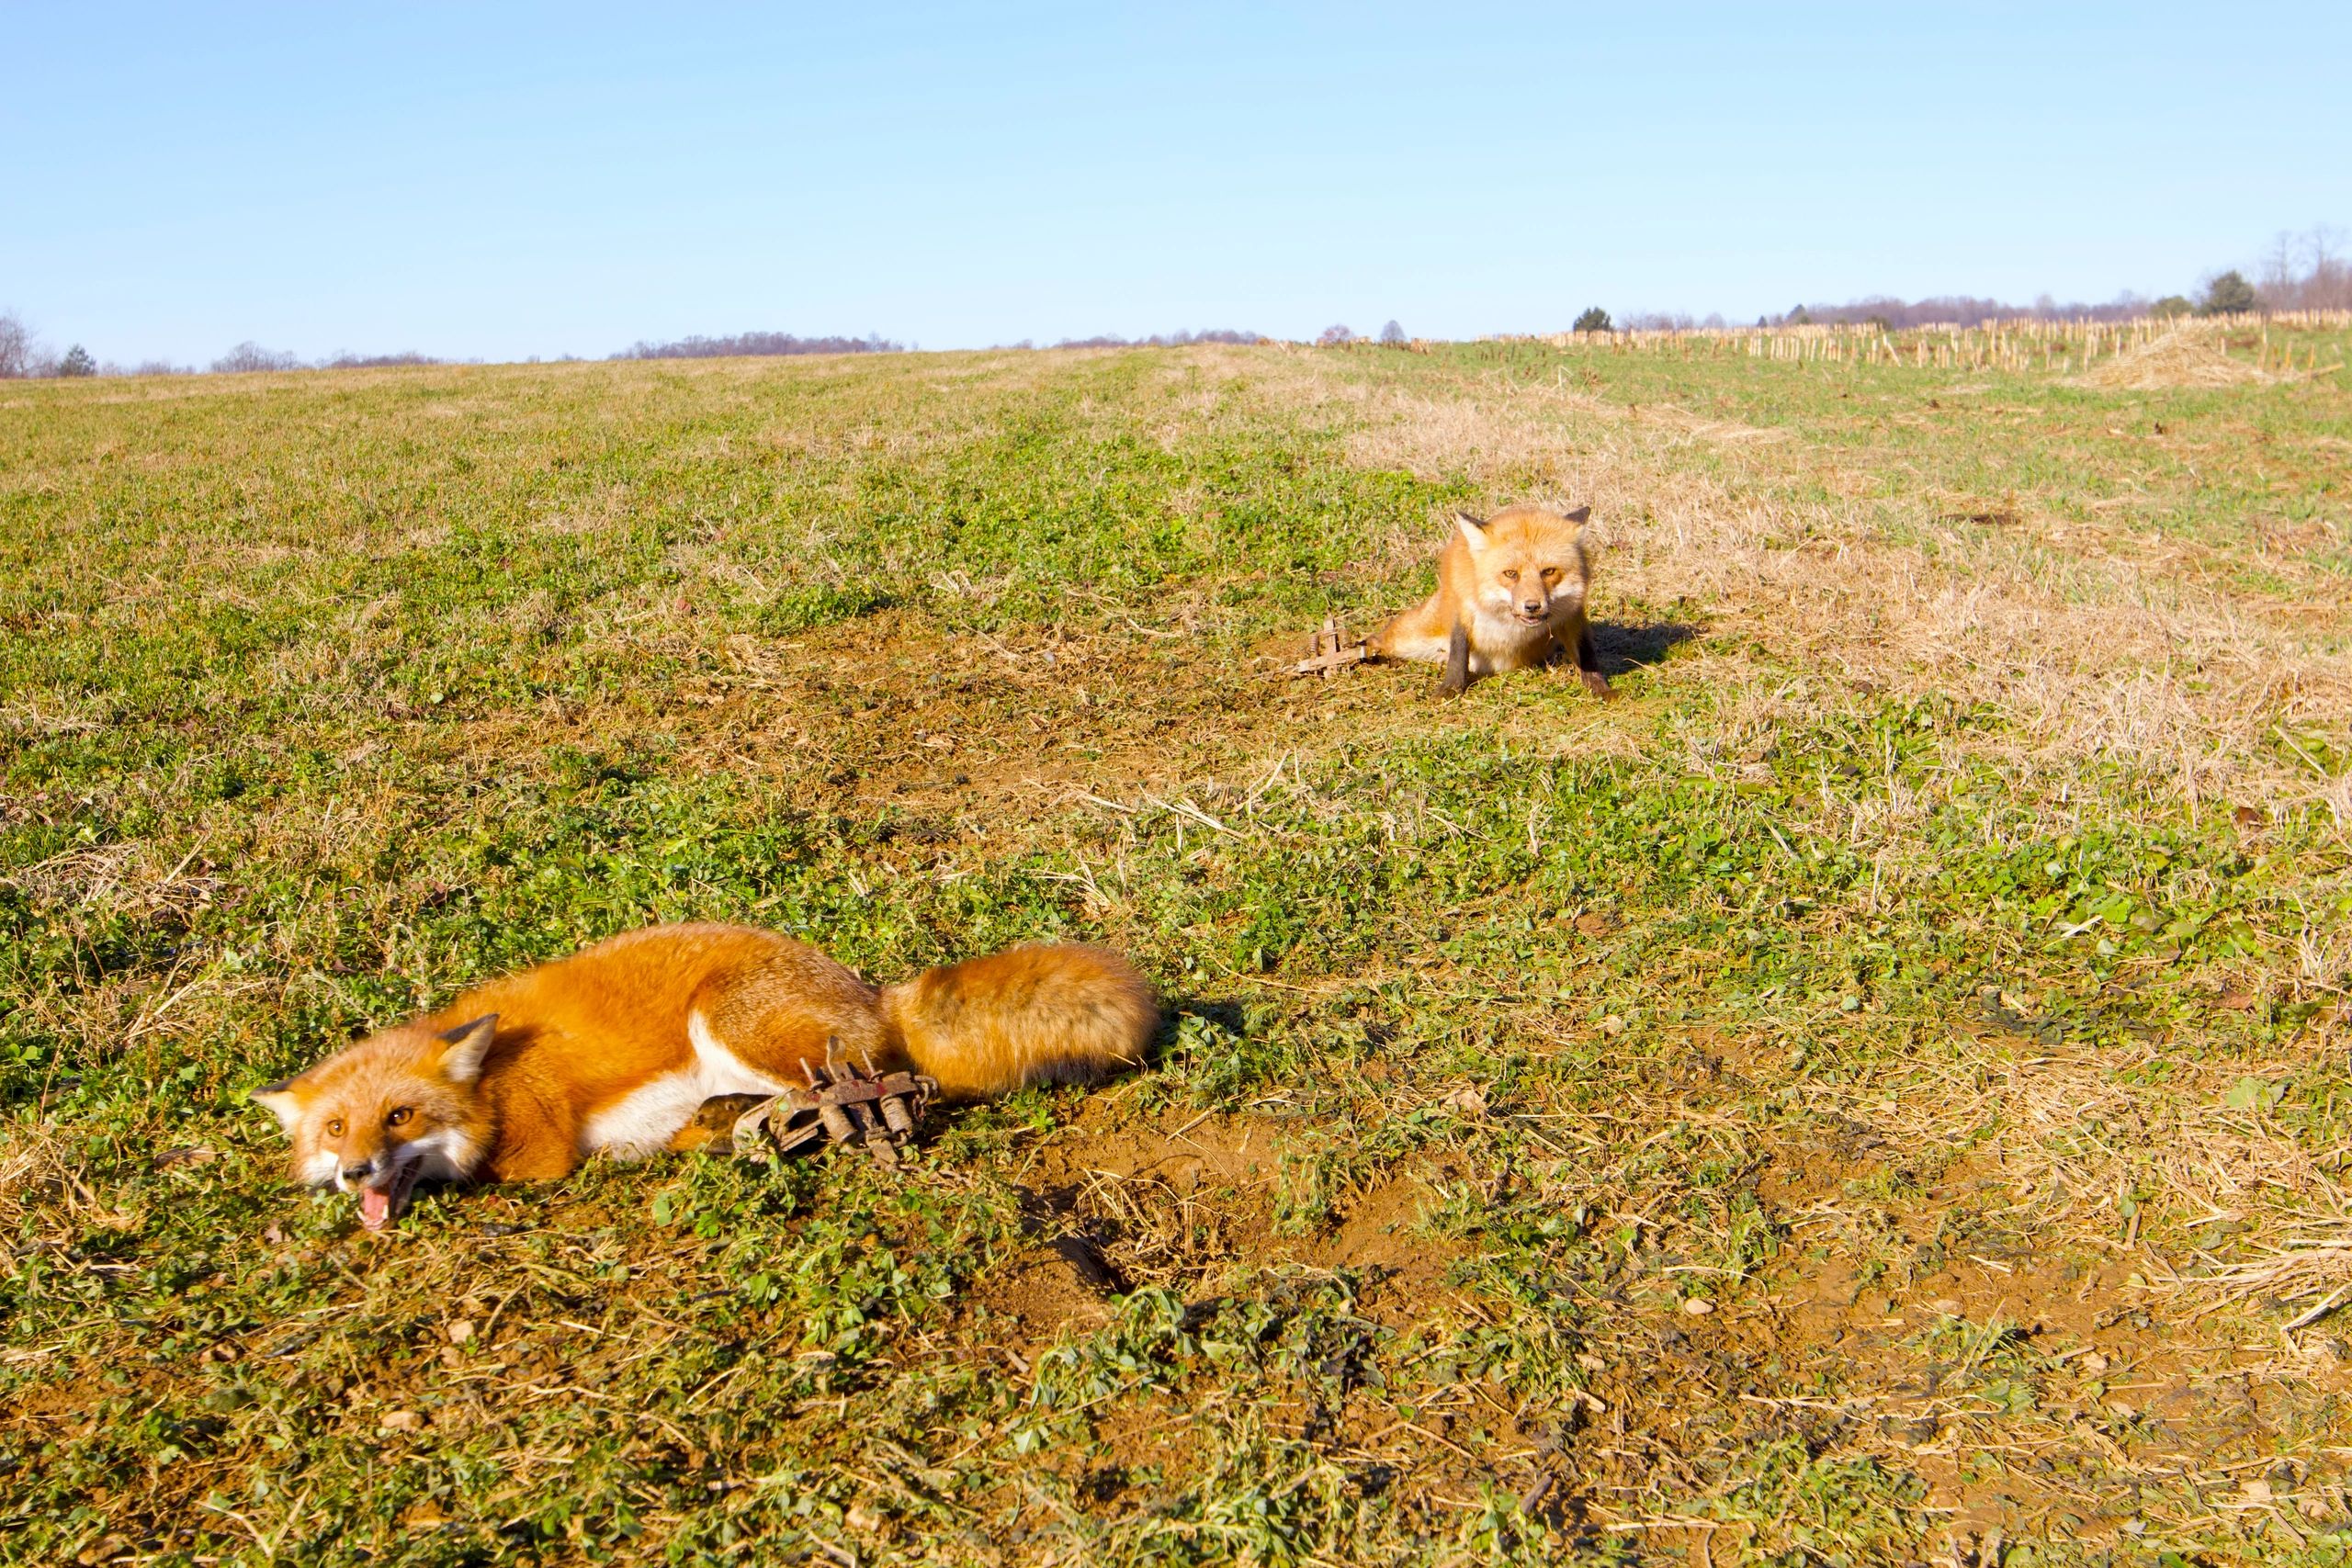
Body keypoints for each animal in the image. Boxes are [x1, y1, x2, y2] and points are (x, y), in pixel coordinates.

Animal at [251, 924, 1156, 1231]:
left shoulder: (536, 1157)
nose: (356, 1171)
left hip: (732, 1022)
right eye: (335, 1128)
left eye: (400, 1116)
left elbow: (499, 1176)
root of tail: (873, 991)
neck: (494, 1080)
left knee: (871, 1084)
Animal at [1367, 504, 1610, 698]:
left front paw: (1601, 689)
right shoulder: (1463, 610)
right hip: (1408, 638)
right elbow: (1458, 654)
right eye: (1511, 574)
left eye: (1548, 571)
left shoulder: (1572, 615)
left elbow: (1586, 654)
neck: (1508, 625)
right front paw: (1451, 689)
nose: (1532, 606)